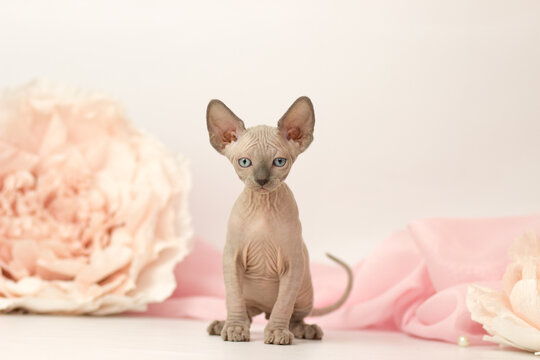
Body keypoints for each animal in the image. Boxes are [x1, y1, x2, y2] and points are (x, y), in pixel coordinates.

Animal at [205, 96, 352, 346]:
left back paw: (306, 329)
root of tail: (263, 309)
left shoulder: (294, 264)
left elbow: (283, 305)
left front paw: (276, 332)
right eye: (245, 162)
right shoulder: (231, 258)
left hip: (305, 293)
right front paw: (234, 328)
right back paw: (222, 324)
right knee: (246, 312)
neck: (263, 206)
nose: (262, 180)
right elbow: (234, 300)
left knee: (294, 315)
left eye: (280, 161)